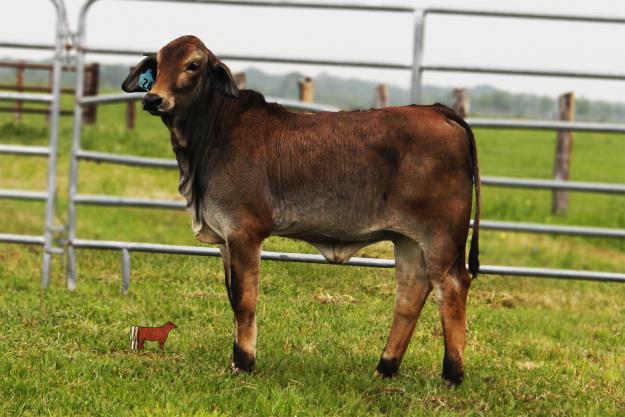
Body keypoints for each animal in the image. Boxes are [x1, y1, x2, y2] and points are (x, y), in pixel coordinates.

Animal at [122, 35, 480, 386]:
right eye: (158, 63)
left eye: (193, 65)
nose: (153, 99)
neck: (213, 132)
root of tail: (440, 112)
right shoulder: (225, 238)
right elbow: (233, 296)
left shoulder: (244, 233)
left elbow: (245, 300)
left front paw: (244, 362)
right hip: (408, 240)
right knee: (411, 292)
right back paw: (385, 367)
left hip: (441, 236)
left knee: (452, 286)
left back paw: (452, 373)